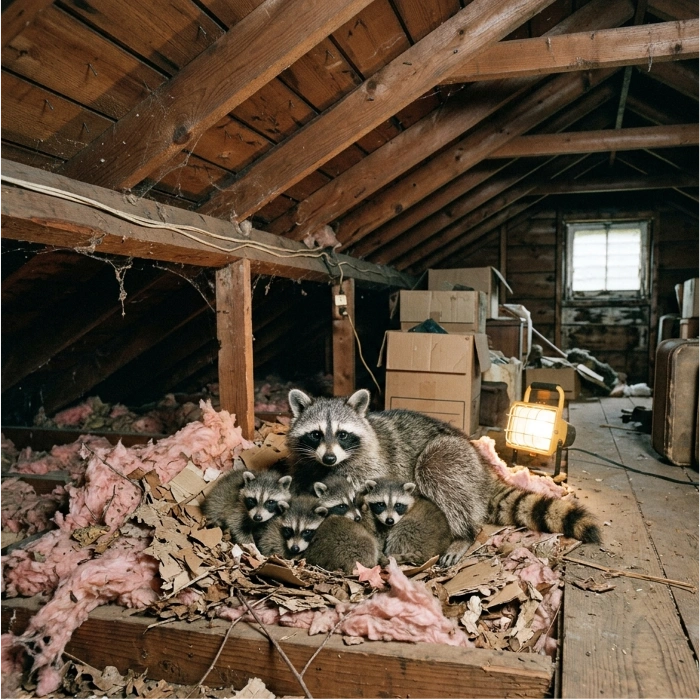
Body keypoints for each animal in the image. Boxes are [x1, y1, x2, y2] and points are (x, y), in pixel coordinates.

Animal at [287, 388, 600, 566]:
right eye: (316, 434)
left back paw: (465, 535)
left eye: (342, 434)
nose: (329, 458)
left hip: (452, 457)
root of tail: (484, 468)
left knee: (436, 472)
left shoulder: (373, 464)